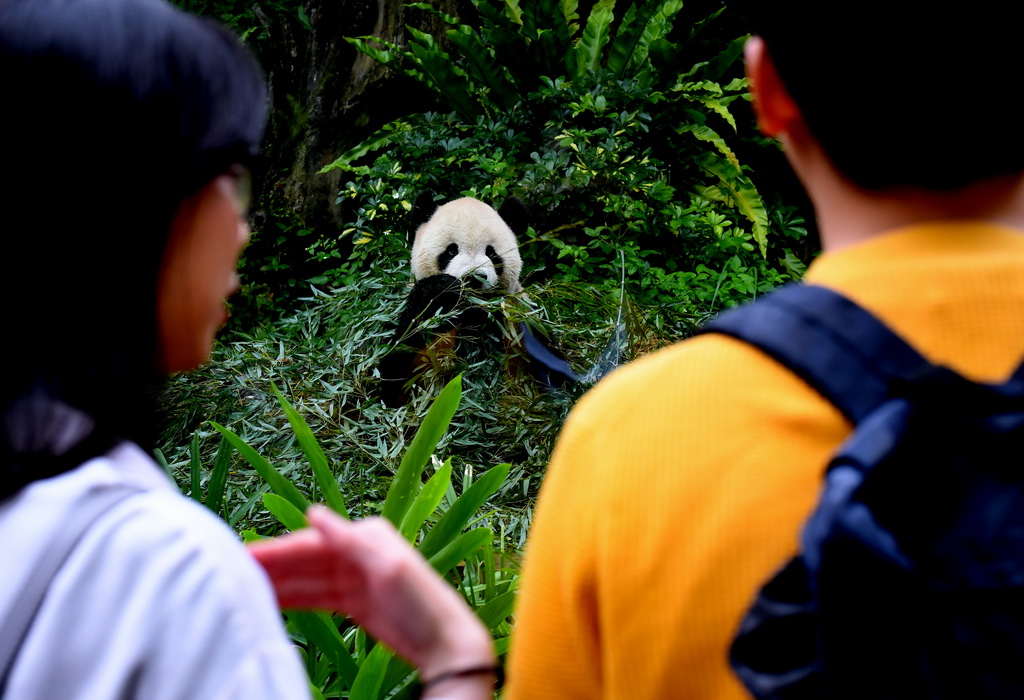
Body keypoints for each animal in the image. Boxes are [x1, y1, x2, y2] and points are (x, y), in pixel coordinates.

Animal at [376, 194, 577, 407]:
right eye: (451, 251)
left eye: (491, 252)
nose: (474, 277)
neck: (473, 311)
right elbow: (399, 381)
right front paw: (440, 289)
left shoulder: (518, 320)